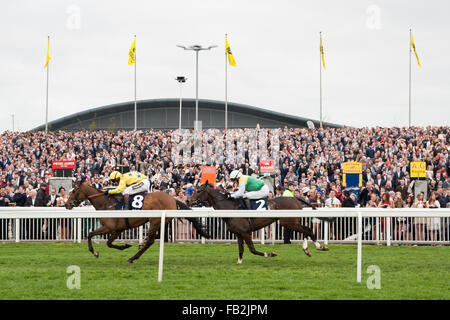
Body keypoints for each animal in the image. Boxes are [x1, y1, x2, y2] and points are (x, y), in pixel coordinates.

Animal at [66, 179, 210, 264]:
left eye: (74, 191)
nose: (66, 204)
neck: (106, 203)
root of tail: (173, 199)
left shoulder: (109, 227)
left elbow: (91, 235)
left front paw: (95, 252)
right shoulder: (118, 230)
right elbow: (108, 243)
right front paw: (124, 246)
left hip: (154, 221)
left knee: (151, 240)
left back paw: (132, 257)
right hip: (159, 222)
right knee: (153, 238)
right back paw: (139, 247)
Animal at [188, 184, 328, 264]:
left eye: (199, 190)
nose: (188, 200)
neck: (231, 207)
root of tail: (294, 198)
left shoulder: (245, 232)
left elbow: (253, 250)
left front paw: (270, 254)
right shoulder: (238, 233)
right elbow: (241, 250)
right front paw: (239, 262)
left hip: (289, 222)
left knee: (308, 229)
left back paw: (319, 247)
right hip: (292, 222)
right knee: (306, 229)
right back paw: (307, 250)